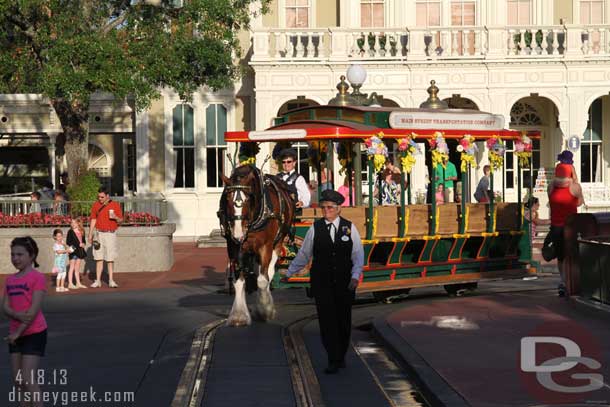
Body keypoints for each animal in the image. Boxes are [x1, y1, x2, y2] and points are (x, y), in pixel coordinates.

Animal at [218, 164, 294, 326]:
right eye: (227, 198)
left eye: (248, 198)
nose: (238, 232)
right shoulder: (234, 247)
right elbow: (239, 281)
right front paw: (239, 315)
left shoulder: (265, 247)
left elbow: (262, 280)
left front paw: (264, 310)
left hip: (277, 244)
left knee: (268, 273)